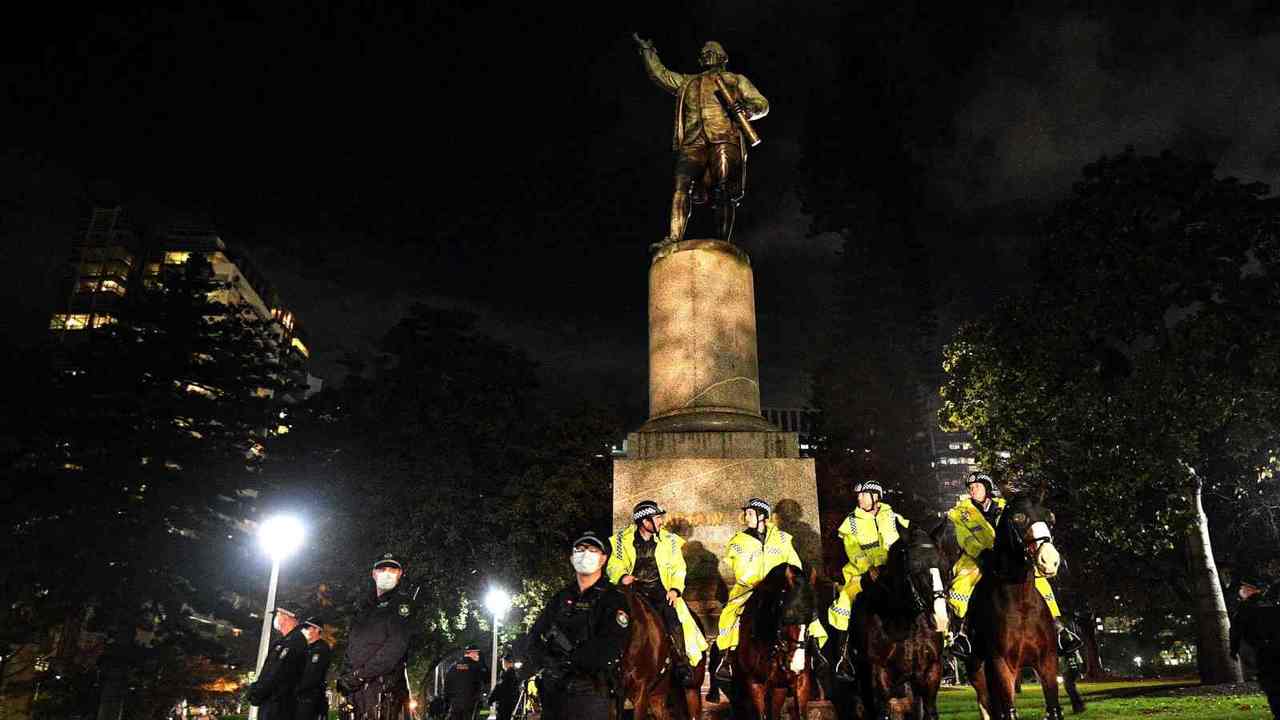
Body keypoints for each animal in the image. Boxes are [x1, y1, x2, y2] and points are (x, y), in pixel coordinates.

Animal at [849, 520, 952, 717]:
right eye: (914, 567)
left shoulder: (930, 671)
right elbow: (882, 712)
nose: (940, 618)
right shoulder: (879, 672)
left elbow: (930, 711)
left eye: (944, 567)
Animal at [967, 491, 1070, 717]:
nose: (1050, 560)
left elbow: (1054, 709)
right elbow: (1010, 712)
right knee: (985, 704)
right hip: (978, 672)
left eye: (1050, 518)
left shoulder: (1047, 662)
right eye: (1019, 518)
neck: (1021, 604)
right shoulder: (1002, 665)